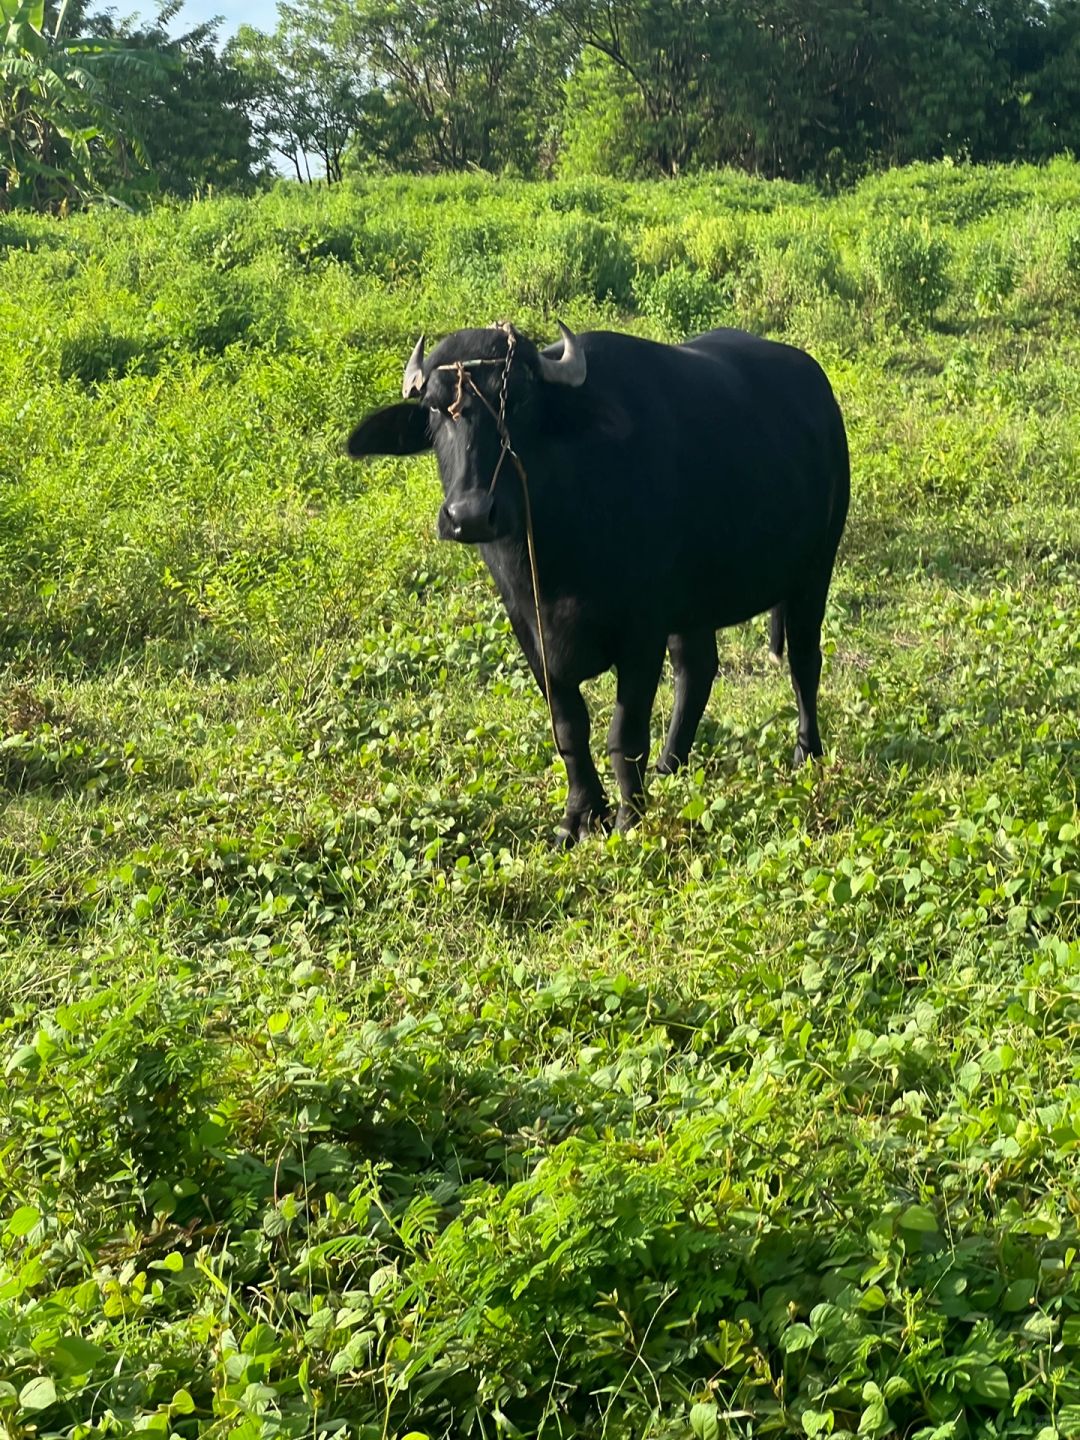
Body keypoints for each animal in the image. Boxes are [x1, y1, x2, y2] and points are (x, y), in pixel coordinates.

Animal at [351, 324, 852, 840]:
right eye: (434, 407)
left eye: (521, 399)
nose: (469, 515)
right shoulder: (529, 629)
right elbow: (569, 729)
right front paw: (580, 815)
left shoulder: (642, 631)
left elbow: (624, 734)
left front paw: (630, 816)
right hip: (694, 603)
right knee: (697, 669)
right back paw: (670, 765)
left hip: (816, 568)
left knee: (804, 661)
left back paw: (806, 751)